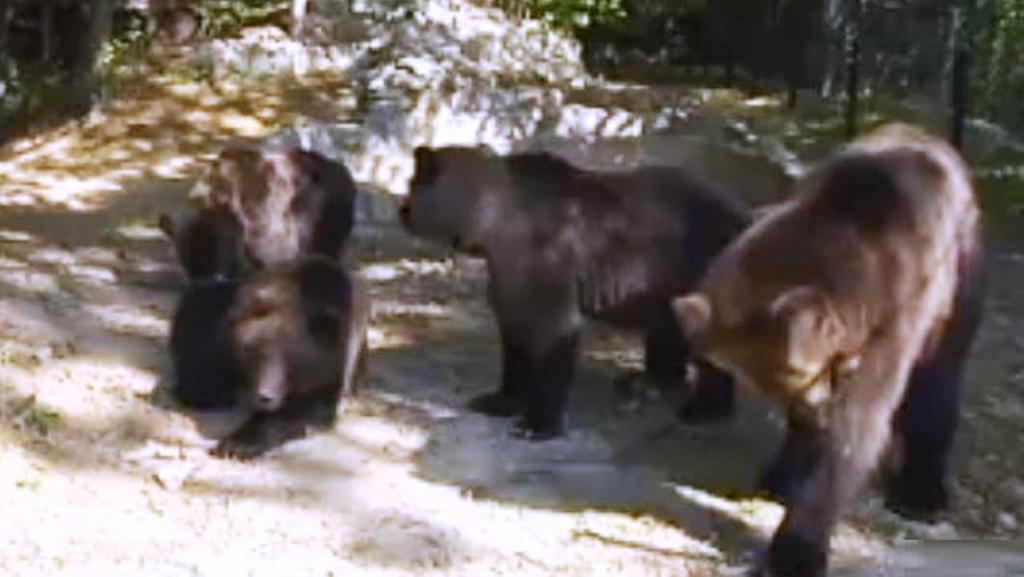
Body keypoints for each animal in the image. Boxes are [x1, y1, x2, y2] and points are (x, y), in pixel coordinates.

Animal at [209, 256, 370, 461]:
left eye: (291, 359)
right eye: (254, 352)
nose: (265, 396)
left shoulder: (332, 368)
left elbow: (304, 412)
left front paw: (240, 444)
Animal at [399, 146, 753, 440]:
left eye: (410, 183)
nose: (401, 210)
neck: (492, 223)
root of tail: (745, 214)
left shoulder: (548, 257)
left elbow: (554, 333)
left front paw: (536, 425)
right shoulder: (510, 275)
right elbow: (514, 333)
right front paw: (499, 399)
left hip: (696, 260)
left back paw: (703, 408)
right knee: (667, 326)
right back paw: (646, 381)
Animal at [671, 122, 983, 577]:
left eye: (801, 372)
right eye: (775, 384)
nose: (816, 408)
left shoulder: (897, 318)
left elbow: (855, 429)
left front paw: (795, 552)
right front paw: (783, 476)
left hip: (959, 282)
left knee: (939, 383)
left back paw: (921, 493)